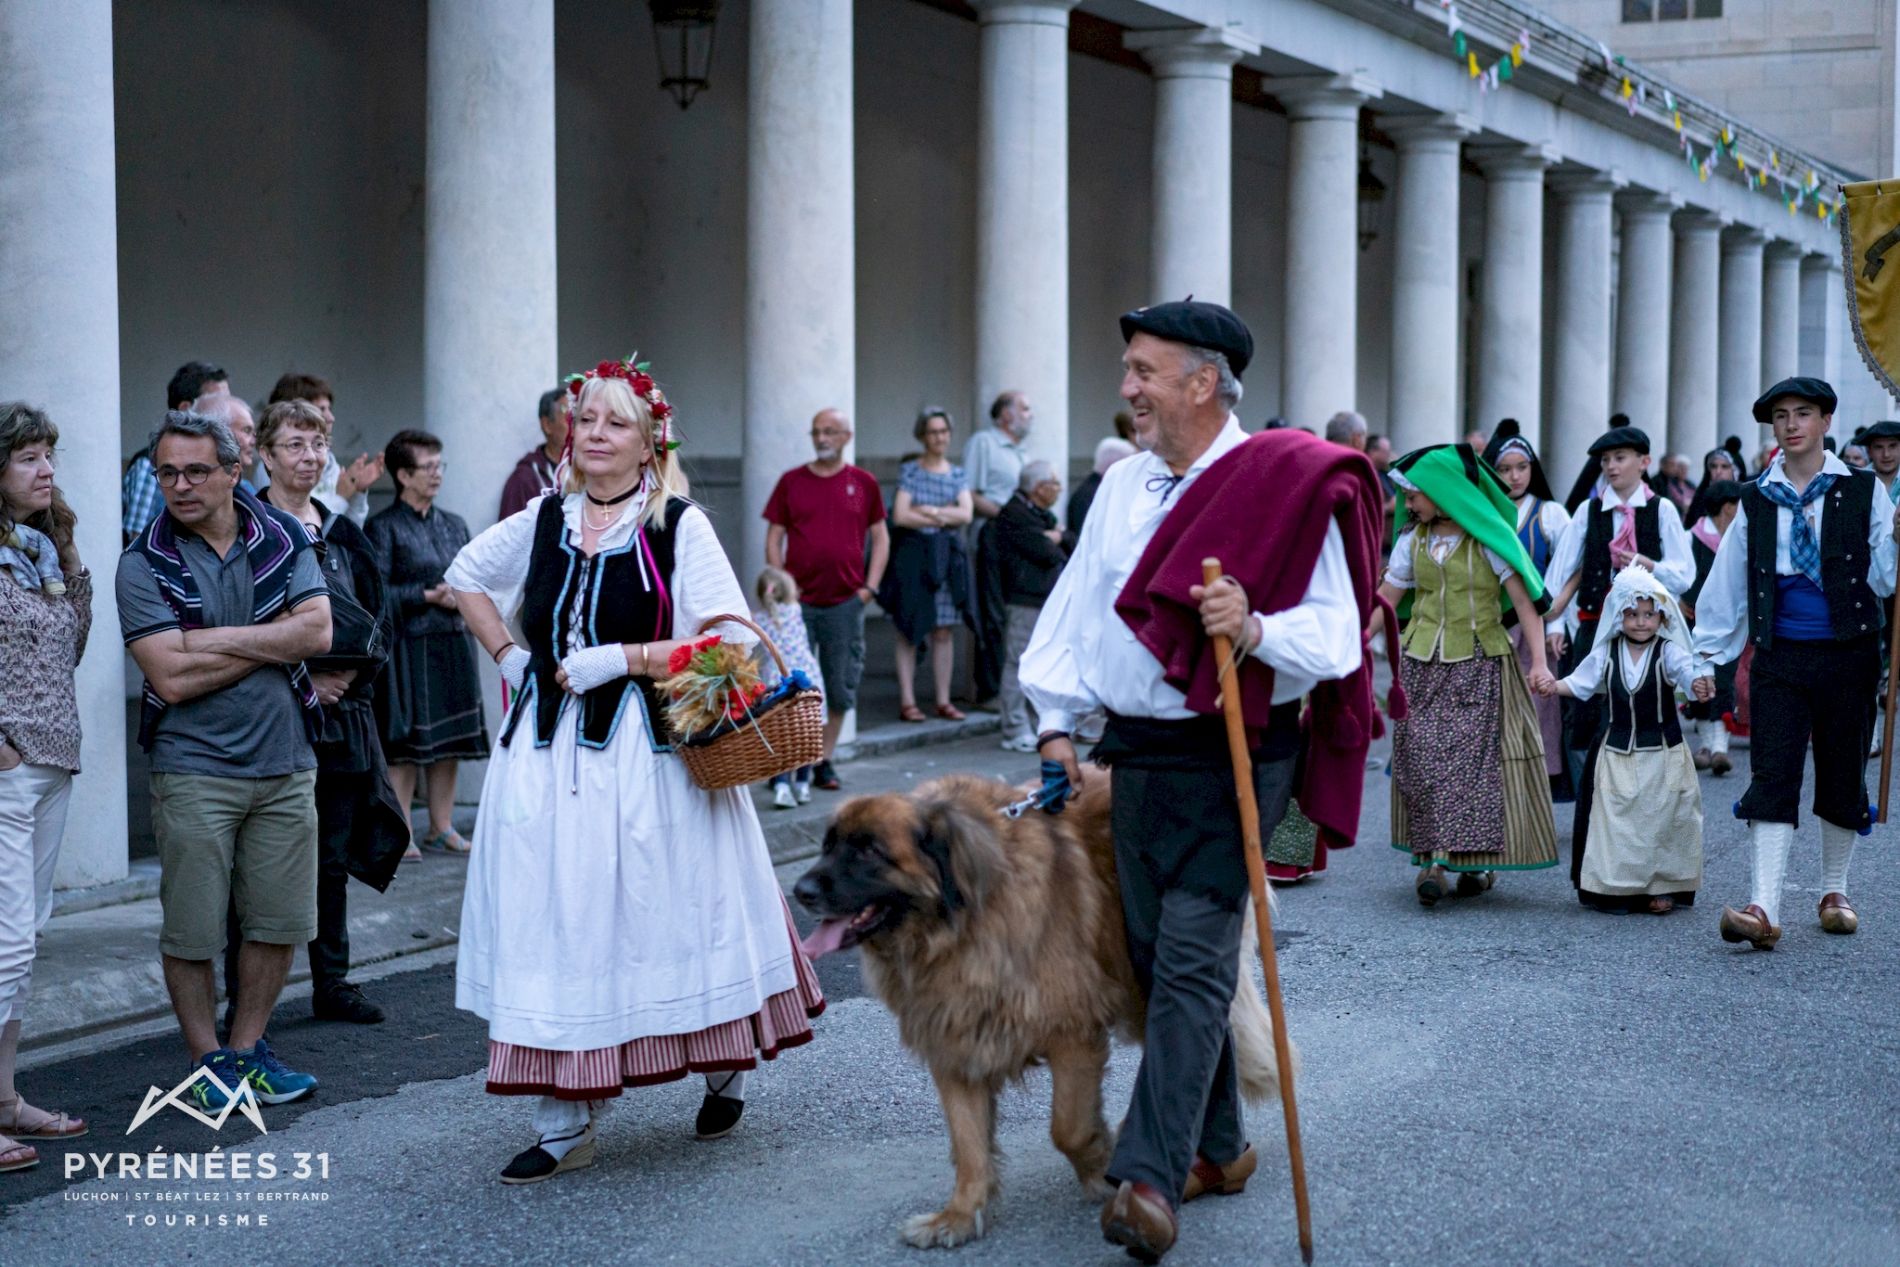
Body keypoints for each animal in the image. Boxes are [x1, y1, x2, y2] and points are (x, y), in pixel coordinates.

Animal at [794, 775, 1284, 1246]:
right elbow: (969, 1144)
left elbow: (1067, 1127)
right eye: (828, 845)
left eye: (870, 850)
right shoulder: (953, 1037)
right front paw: (959, 1216)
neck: (959, 923)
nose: (800, 892)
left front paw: (1102, 1164)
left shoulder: (1072, 1033)